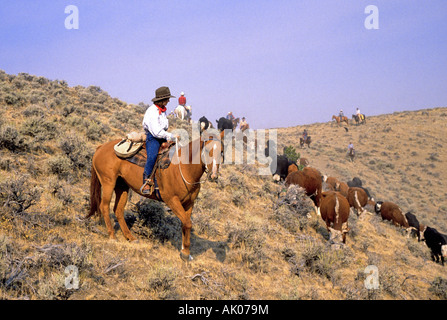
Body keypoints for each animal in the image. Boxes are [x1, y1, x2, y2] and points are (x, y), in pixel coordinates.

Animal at [85, 131, 224, 262]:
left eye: (222, 152)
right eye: (207, 150)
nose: (213, 176)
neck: (184, 169)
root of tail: (101, 147)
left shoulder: (189, 203)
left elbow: (185, 224)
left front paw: (185, 252)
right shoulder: (172, 200)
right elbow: (188, 224)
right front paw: (185, 253)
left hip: (122, 186)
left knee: (118, 210)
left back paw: (130, 237)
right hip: (108, 182)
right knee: (104, 206)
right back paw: (112, 236)